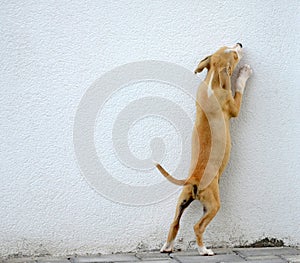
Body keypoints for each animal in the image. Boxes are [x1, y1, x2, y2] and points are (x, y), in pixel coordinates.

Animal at [156, 43, 252, 256]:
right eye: (234, 56)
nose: (240, 44)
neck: (212, 83)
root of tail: (193, 179)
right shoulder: (234, 106)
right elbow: (239, 88)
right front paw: (244, 73)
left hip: (182, 199)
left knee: (174, 223)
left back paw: (167, 247)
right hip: (213, 203)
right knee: (197, 226)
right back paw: (204, 250)